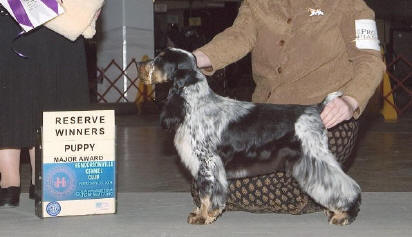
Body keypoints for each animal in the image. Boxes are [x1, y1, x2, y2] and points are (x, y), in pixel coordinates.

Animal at [138, 47, 360, 226]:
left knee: (346, 186)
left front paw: (204, 216)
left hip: (315, 157)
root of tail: (315, 108)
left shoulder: (207, 162)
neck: (194, 103)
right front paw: (200, 213)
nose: (139, 65)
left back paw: (344, 214)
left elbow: (207, 192)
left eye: (159, 59)